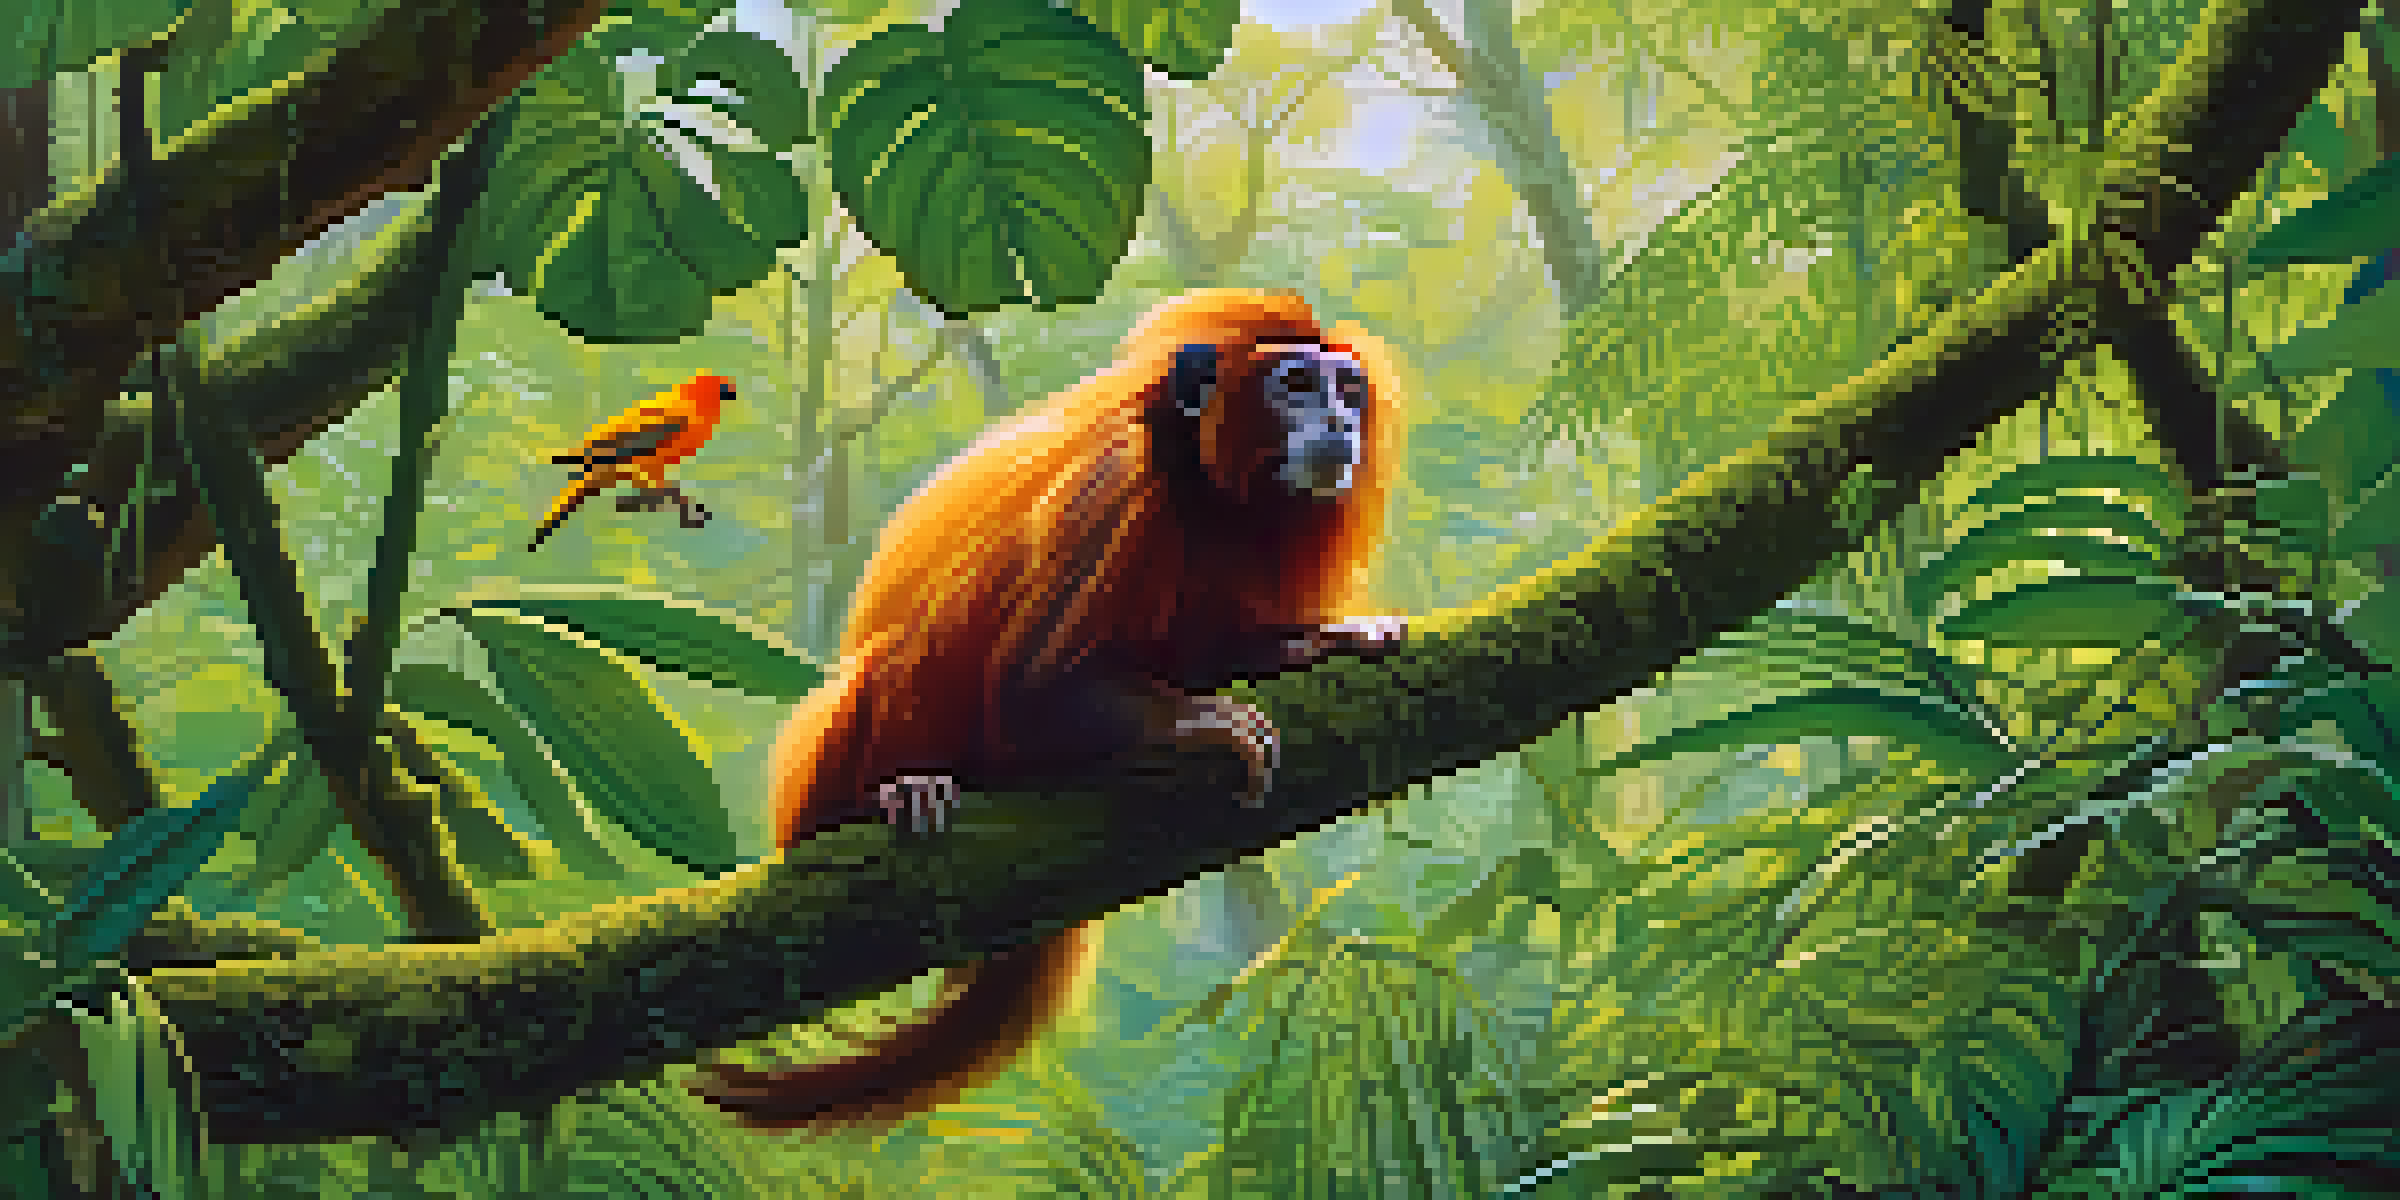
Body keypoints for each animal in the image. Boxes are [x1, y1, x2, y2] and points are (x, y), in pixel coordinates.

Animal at [691, 290, 1407, 1131]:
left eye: (1348, 391)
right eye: (1296, 385)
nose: (1338, 422)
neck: (1191, 472)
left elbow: (1201, 655)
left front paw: (1311, 644)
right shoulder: (1114, 481)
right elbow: (1031, 696)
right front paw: (1192, 723)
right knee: (913, 647)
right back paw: (898, 793)